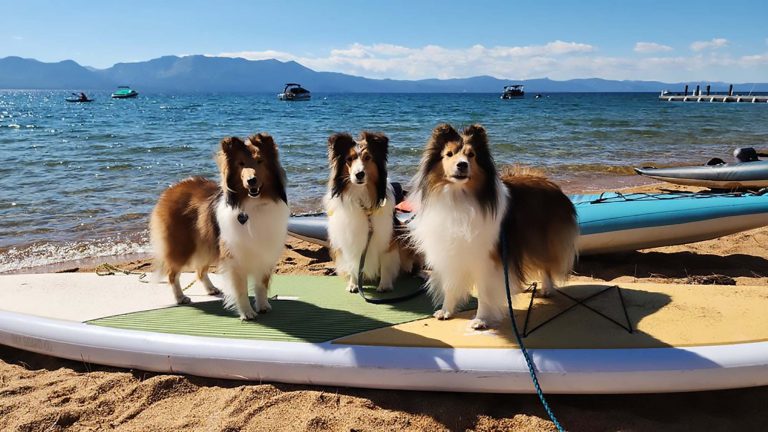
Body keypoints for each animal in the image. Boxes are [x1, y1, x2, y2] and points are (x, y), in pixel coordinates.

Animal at [150, 133, 288, 318]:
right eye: (241, 164)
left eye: (260, 161)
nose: (251, 181)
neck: (253, 205)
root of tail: (172, 188)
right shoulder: (234, 257)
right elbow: (241, 289)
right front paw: (247, 313)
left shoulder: (265, 253)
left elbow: (261, 285)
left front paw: (263, 306)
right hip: (183, 246)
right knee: (172, 274)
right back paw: (180, 297)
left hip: (206, 244)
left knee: (200, 271)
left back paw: (211, 289)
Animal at [322, 132, 404, 294]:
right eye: (349, 159)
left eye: (368, 157)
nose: (359, 174)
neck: (362, 196)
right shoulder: (351, 241)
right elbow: (354, 264)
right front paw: (353, 284)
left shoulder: (386, 239)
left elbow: (386, 264)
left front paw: (384, 285)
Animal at [408, 123, 576, 330]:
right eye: (449, 154)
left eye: (471, 155)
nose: (462, 165)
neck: (459, 197)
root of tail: (552, 184)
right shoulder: (451, 253)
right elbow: (450, 286)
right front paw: (446, 311)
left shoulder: (487, 259)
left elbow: (484, 292)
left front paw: (481, 319)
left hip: (538, 240)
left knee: (546, 265)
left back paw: (547, 288)